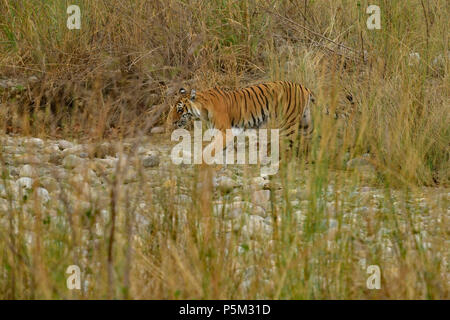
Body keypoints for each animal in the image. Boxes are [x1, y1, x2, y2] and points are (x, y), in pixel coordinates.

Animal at [166, 80, 316, 154]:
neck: (202, 110)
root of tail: (303, 87)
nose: (171, 122)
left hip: (288, 123)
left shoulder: (224, 131)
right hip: (305, 122)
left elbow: (213, 148)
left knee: (287, 145)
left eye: (180, 109)